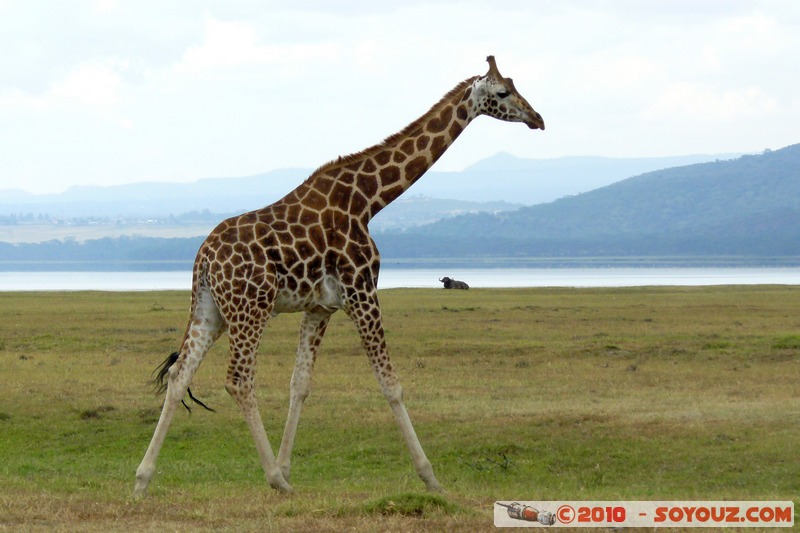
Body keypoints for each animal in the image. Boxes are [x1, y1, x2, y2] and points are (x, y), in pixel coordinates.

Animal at [133, 55, 544, 496]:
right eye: (503, 92)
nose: (537, 118)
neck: (368, 200)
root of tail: (204, 259)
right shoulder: (362, 292)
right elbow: (390, 384)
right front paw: (430, 476)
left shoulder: (320, 308)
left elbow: (300, 385)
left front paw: (288, 465)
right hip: (251, 308)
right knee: (239, 380)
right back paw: (274, 480)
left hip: (210, 311)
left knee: (178, 375)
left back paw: (142, 479)